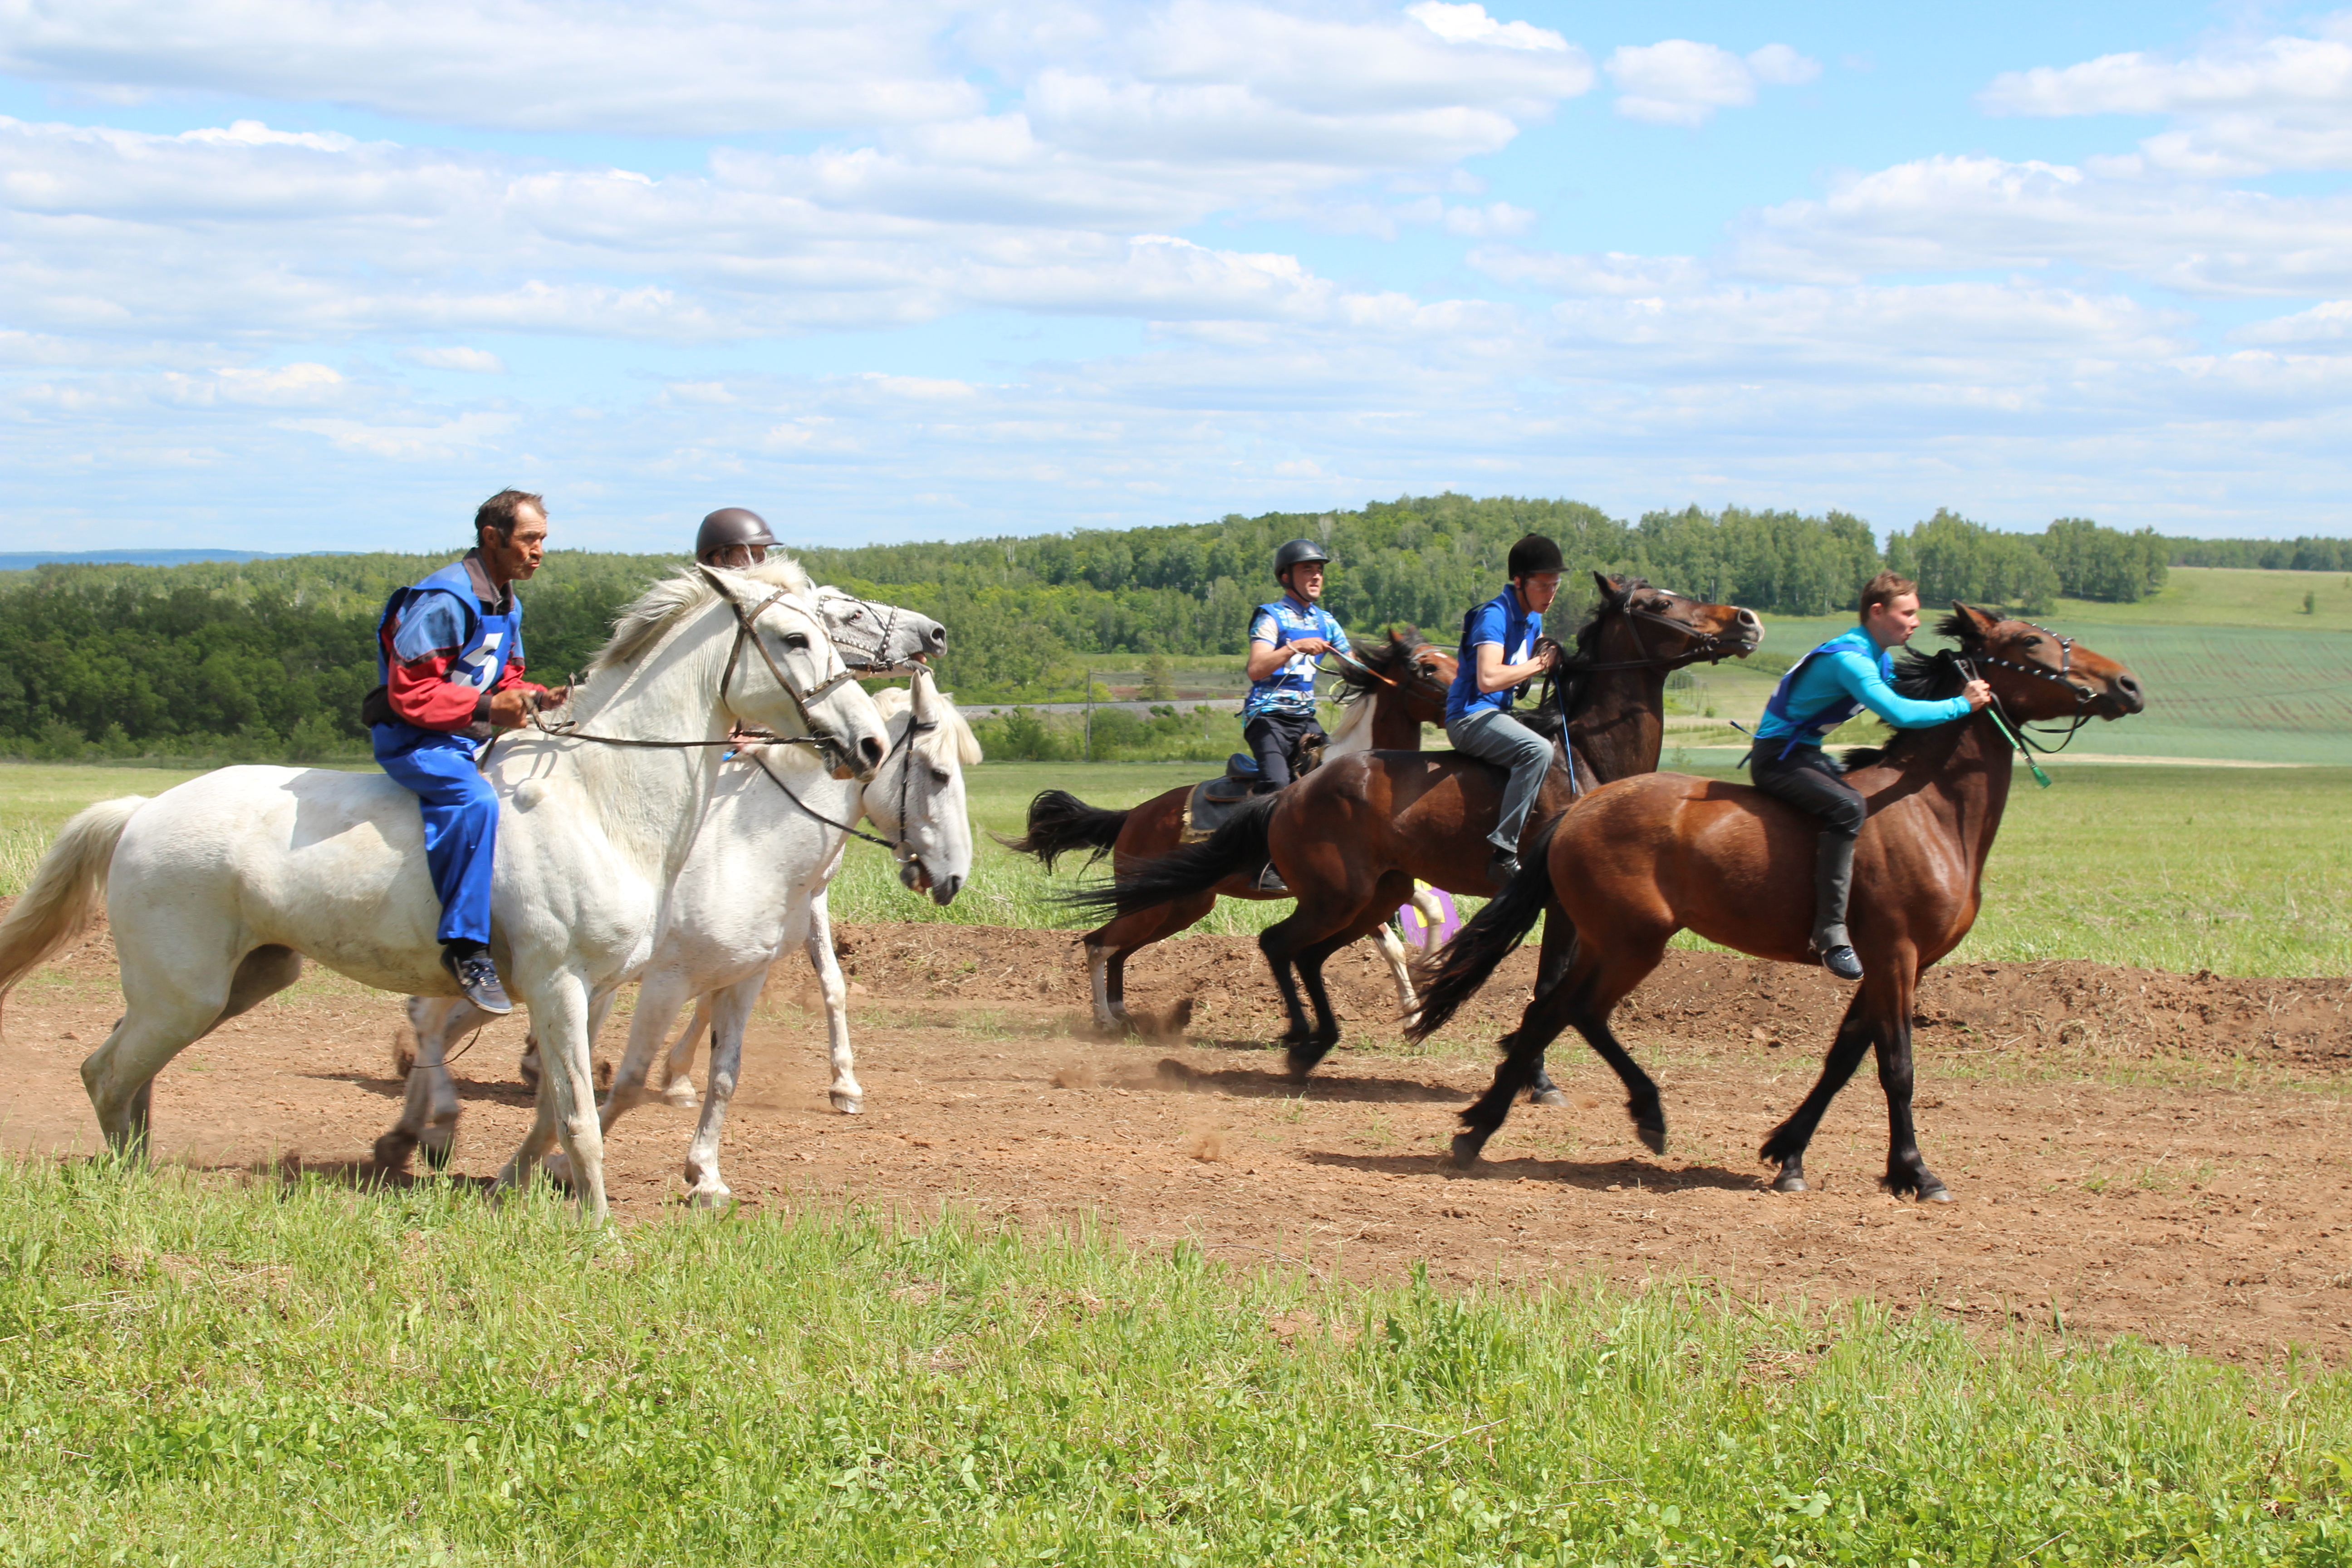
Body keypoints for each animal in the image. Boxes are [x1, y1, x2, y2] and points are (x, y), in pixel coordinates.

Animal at [0, 564, 884, 1222]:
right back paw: (131, 1185)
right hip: (184, 992)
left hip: (238, 981)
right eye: (795, 637)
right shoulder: (558, 985)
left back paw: (147, 1167)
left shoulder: (595, 991)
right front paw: (598, 1224)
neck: (600, 799)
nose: (871, 742)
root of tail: (142, 810)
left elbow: (559, 1105)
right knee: (106, 1072)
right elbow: (582, 1116)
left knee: (127, 1069)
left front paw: (528, 1184)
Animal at [390, 667, 978, 1194]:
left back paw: (413, 1132)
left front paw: (705, 1169)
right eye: (938, 773)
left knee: (440, 1022)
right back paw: (434, 1125)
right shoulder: (666, 981)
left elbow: (728, 1068)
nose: (953, 878)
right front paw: (563, 1166)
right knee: (428, 1017)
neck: (746, 846)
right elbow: (630, 1082)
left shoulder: (745, 968)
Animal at [1006, 630, 1449, 1034]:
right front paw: (1414, 1012)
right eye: (1427, 668)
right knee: (1098, 944)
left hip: (1180, 906)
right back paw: (1106, 1020)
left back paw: (1122, 1014)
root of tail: (1134, 816)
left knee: (1117, 950)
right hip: (1152, 905)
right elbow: (1393, 944)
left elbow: (1430, 909)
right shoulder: (1345, 891)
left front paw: (1427, 970)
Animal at [1077, 576, 1759, 1081]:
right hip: (1261, 898)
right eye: (1661, 604)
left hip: (1255, 899)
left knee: (1163, 946)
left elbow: (1434, 941)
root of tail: (1136, 813)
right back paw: (1120, 1023)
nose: (1748, 620)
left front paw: (1428, 1010)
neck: (1583, 756)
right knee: (1116, 943)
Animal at [1411, 606, 2154, 1203]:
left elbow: (1844, 1060)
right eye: (2030, 640)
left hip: (1610, 939)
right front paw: (1916, 1172)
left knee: (1556, 1013)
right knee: (1569, 1012)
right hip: (1631, 941)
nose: (2129, 685)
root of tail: (1580, 809)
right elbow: (1897, 1068)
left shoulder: (1888, 965)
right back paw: (1605, 1117)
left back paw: (1493, 1127)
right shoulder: (1898, 957)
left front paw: (1788, 1153)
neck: (1933, 810)